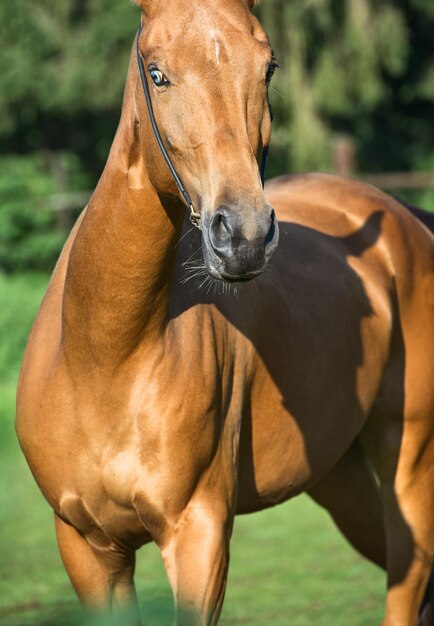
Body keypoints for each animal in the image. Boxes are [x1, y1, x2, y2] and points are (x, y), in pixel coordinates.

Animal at [15, 1, 432, 624]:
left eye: (269, 68)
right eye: (157, 74)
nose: (244, 236)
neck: (102, 357)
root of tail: (405, 217)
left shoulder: (198, 534)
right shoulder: (87, 547)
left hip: (409, 462)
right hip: (341, 478)